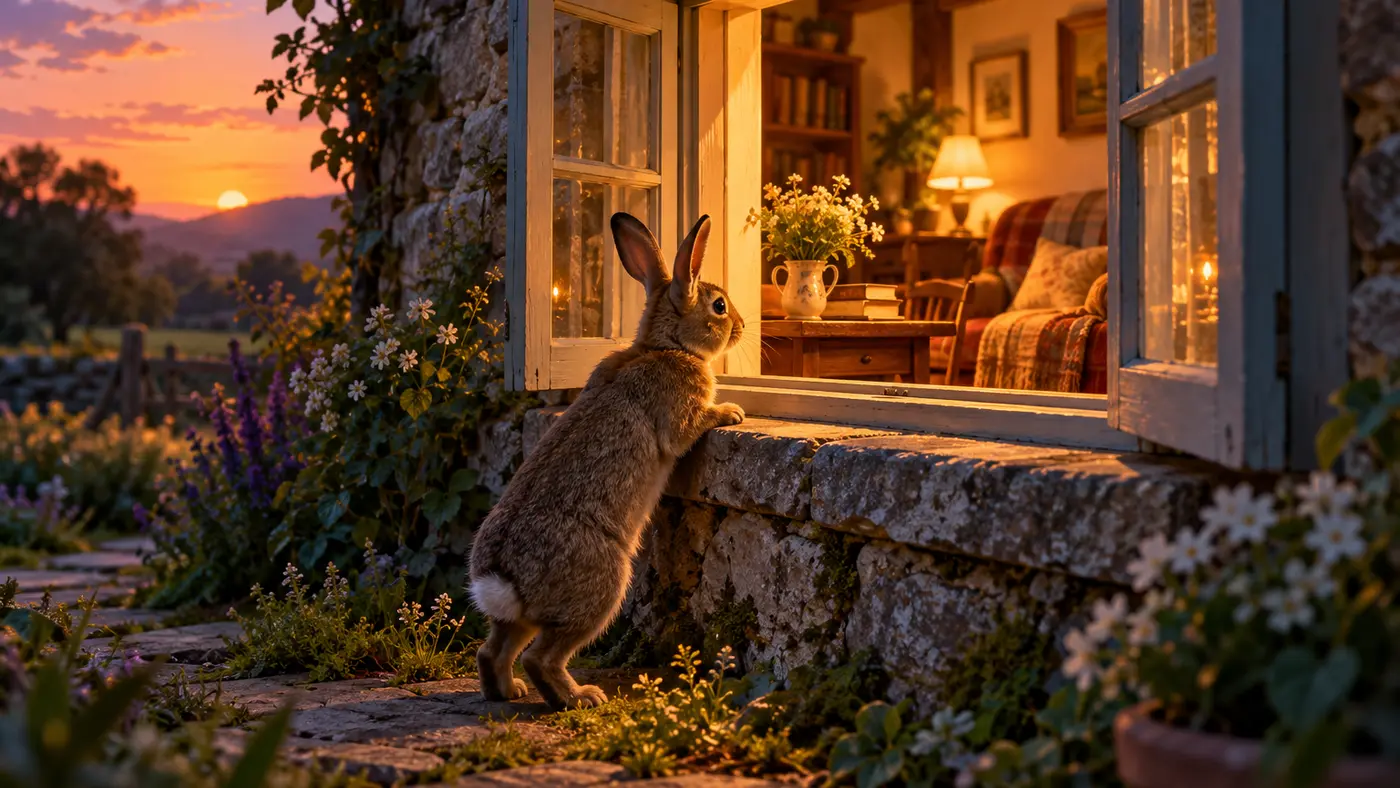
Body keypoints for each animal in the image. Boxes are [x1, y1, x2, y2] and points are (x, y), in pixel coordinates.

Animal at [468, 211, 746, 711]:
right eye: (718, 306)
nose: (742, 326)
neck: (667, 347)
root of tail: (505, 580)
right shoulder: (678, 414)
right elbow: (686, 431)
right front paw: (731, 412)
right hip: (602, 591)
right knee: (542, 657)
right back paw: (582, 697)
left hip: (522, 619)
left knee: (492, 650)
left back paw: (507, 692)